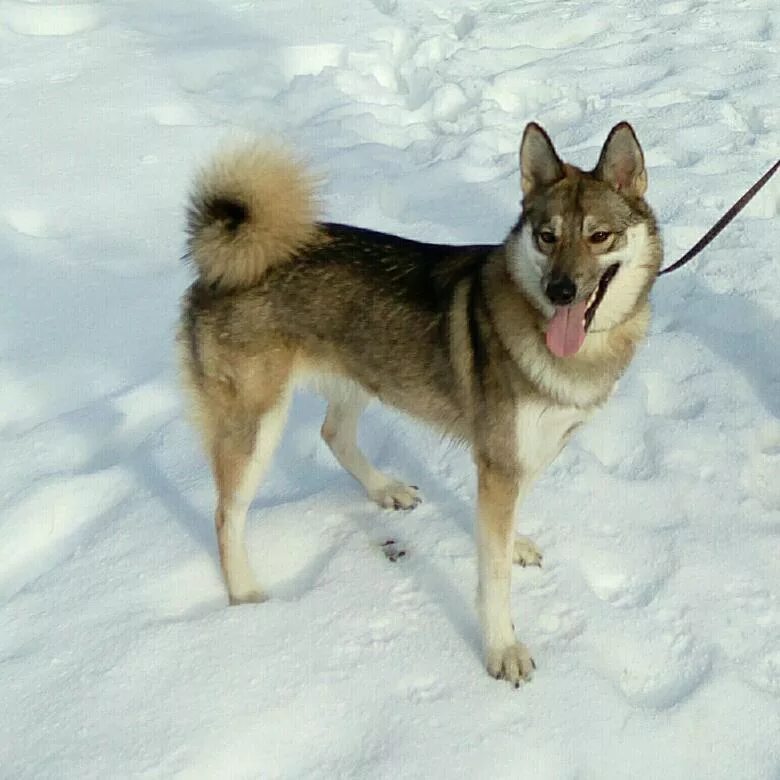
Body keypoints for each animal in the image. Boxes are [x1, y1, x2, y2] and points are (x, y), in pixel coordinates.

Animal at [178, 120, 664, 684]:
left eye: (599, 236)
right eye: (547, 236)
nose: (560, 290)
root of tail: (222, 259)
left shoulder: (526, 453)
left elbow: (505, 529)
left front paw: (515, 544)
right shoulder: (500, 460)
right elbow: (492, 576)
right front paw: (502, 649)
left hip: (359, 375)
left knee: (333, 435)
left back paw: (385, 490)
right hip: (256, 424)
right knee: (226, 514)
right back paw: (245, 596)